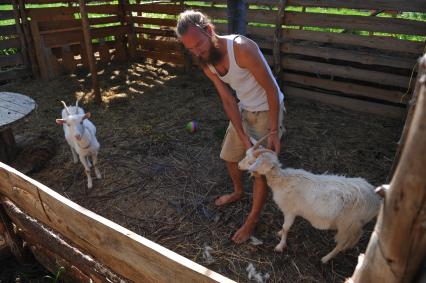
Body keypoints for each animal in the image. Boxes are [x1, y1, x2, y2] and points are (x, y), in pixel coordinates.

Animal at [238, 135, 382, 264]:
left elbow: (286, 228)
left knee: (341, 244)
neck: (283, 180)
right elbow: (283, 228)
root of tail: (376, 199)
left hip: (348, 224)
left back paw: (325, 258)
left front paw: (280, 246)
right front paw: (279, 233)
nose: (239, 166)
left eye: (251, 162)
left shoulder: (290, 211)